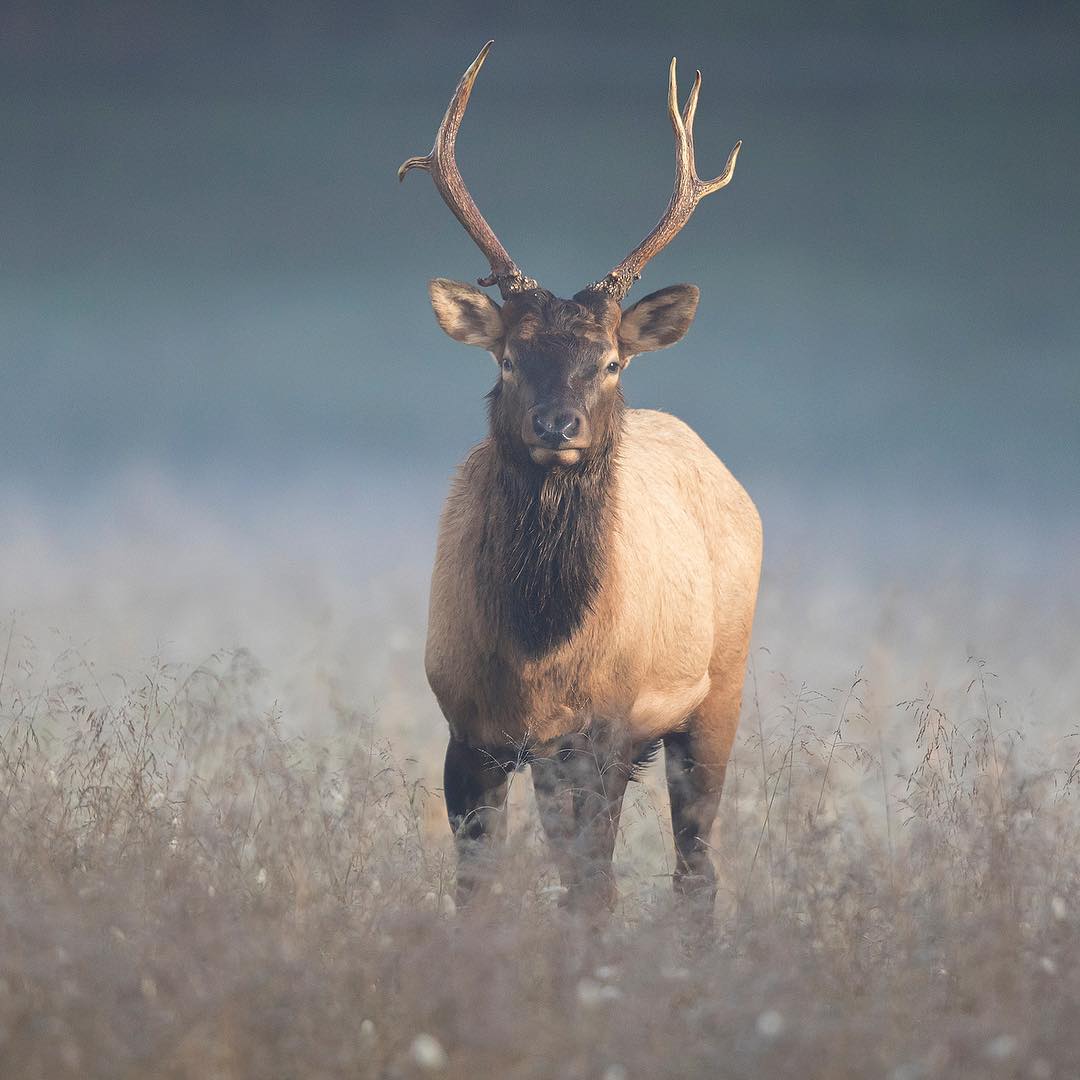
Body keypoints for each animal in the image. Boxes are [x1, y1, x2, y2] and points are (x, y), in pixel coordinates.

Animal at [399, 42, 762, 914]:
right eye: (506, 358)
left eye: (608, 361)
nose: (557, 425)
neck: (538, 650)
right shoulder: (468, 727)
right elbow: (477, 890)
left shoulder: (603, 727)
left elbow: (591, 894)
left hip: (720, 691)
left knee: (696, 866)